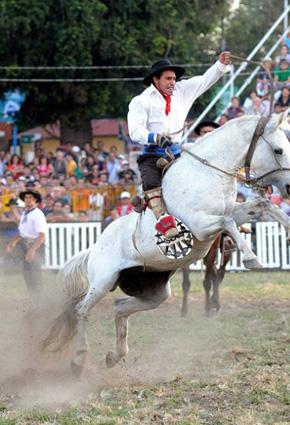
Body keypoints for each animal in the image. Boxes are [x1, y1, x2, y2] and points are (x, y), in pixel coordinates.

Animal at [42, 111, 290, 372]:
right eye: (278, 150)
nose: (288, 186)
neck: (207, 175)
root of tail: (94, 249)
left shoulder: (232, 213)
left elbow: (262, 205)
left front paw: (288, 230)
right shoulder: (200, 227)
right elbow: (229, 222)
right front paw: (252, 258)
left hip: (154, 292)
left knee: (119, 307)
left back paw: (115, 356)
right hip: (101, 282)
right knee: (81, 311)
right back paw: (78, 359)